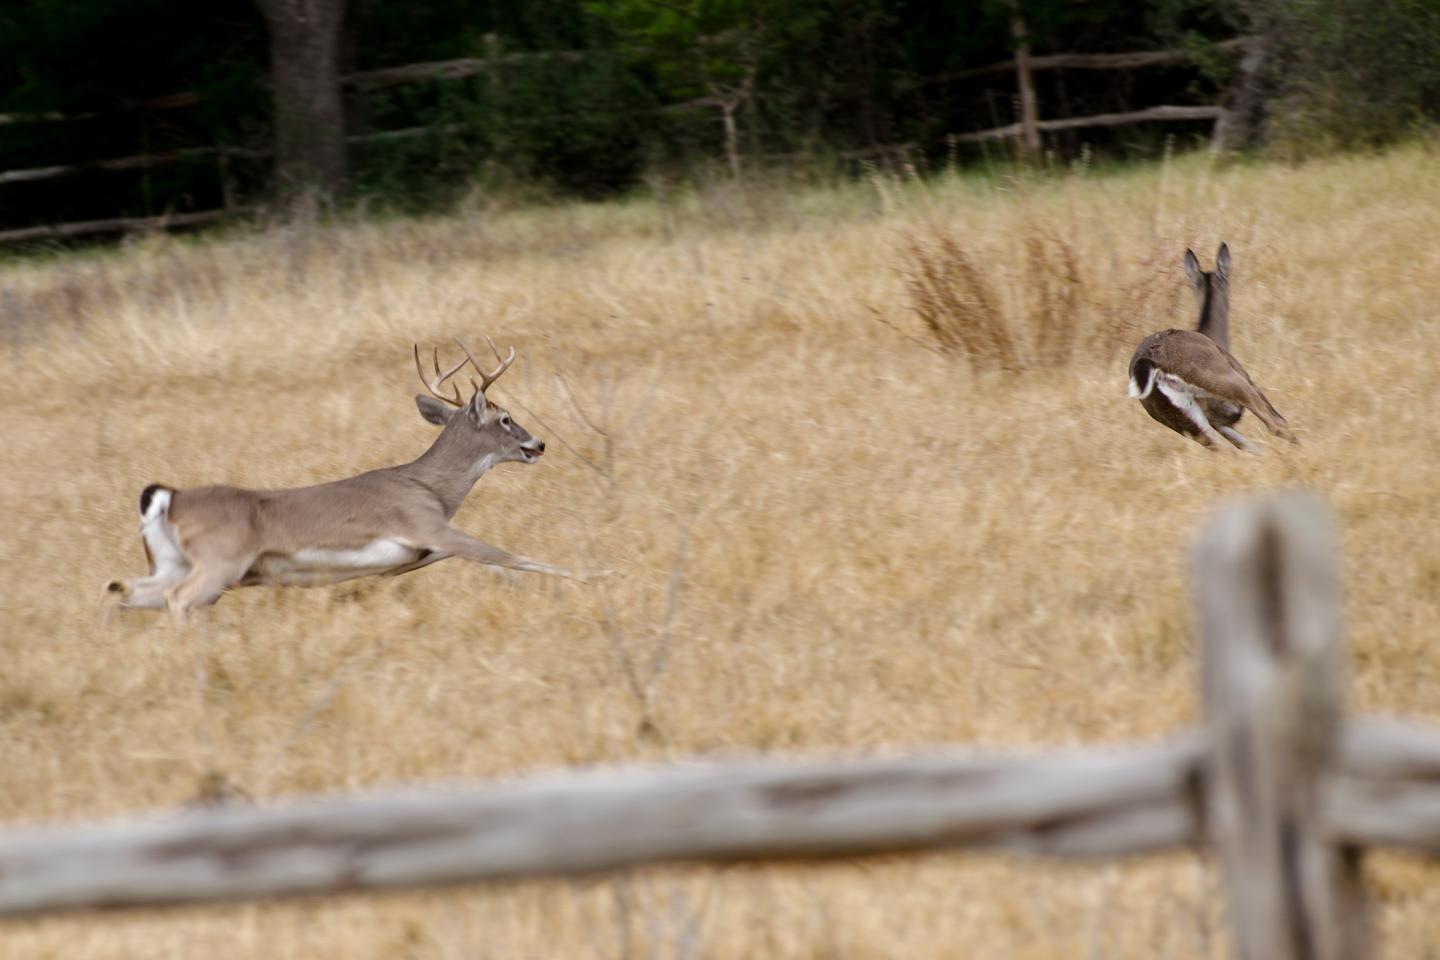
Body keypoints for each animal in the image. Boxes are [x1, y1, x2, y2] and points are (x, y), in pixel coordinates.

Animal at [106, 337, 591, 625]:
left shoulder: (413, 554)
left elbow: (499, 564)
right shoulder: (427, 526)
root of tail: (169, 498)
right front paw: (595, 576)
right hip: (219, 561)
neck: (431, 490)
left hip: (173, 562)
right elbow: (513, 556)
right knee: (176, 598)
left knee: (124, 591)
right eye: (505, 418)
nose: (539, 443)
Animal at [1128, 243, 1297, 452]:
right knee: (1277, 426)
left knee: (1227, 450)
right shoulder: (1248, 384)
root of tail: (1150, 361)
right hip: (1227, 381)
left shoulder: (1220, 422)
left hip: (1185, 421)